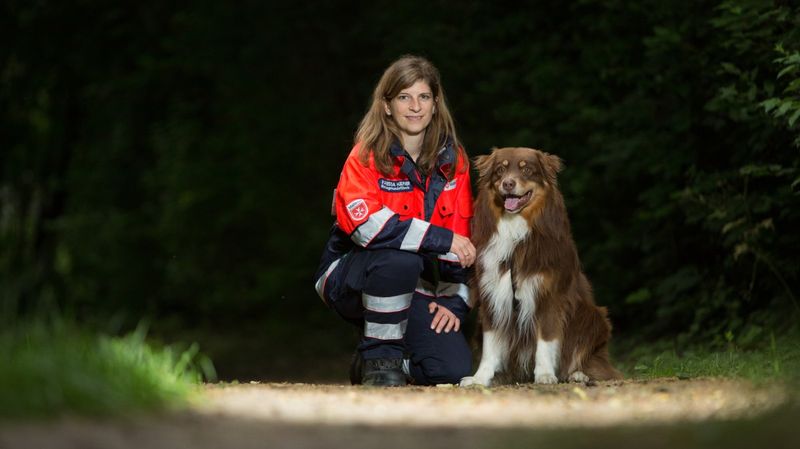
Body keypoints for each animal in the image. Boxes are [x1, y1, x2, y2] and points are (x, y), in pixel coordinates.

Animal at [460, 147, 620, 384]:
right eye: (500, 170)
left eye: (527, 169)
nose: (508, 183)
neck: (515, 230)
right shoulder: (492, 295)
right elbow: (491, 344)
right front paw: (480, 378)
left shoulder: (549, 296)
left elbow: (545, 340)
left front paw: (544, 374)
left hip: (593, 317)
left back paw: (577, 374)